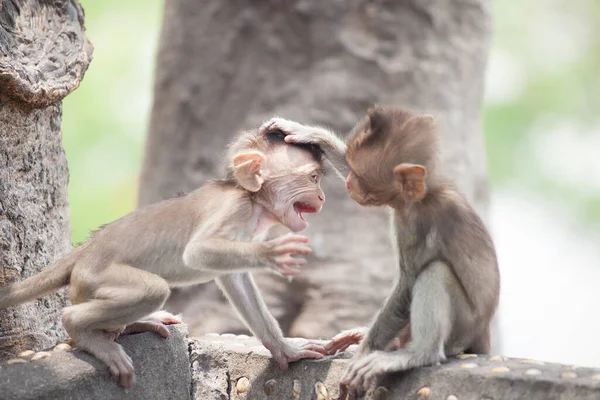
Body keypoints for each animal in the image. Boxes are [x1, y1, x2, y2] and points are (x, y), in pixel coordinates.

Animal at [0, 124, 328, 388]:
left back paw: (134, 324)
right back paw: (86, 331)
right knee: (150, 290)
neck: (253, 199)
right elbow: (197, 252)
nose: (322, 197)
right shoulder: (235, 209)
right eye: (313, 177)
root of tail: (85, 250)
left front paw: (285, 350)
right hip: (94, 277)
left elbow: (235, 279)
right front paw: (272, 253)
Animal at [264, 108, 502, 398]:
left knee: (435, 272)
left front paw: (363, 354)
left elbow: (408, 284)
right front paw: (308, 133)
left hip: (462, 328)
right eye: (352, 170)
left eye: (360, 176)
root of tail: (482, 333)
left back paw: (417, 353)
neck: (424, 195)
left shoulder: (418, 224)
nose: (349, 183)